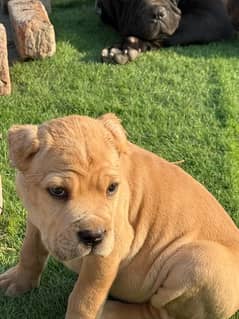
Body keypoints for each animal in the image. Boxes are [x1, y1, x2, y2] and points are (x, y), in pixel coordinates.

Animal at [0, 113, 239, 319]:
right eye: (57, 191)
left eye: (112, 188)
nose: (94, 236)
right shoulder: (37, 221)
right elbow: (30, 252)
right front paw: (18, 282)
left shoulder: (111, 249)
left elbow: (84, 297)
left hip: (201, 263)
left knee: (160, 313)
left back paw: (110, 311)